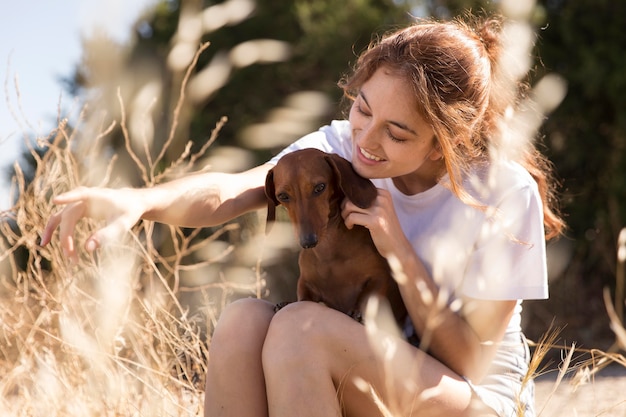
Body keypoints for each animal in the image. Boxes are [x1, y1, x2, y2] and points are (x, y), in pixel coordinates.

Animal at [264, 147, 404, 322]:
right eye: (283, 196)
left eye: (320, 187)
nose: (308, 242)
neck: (329, 252)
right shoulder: (305, 283)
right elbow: (303, 300)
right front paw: (287, 303)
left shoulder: (380, 276)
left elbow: (367, 295)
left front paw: (357, 312)